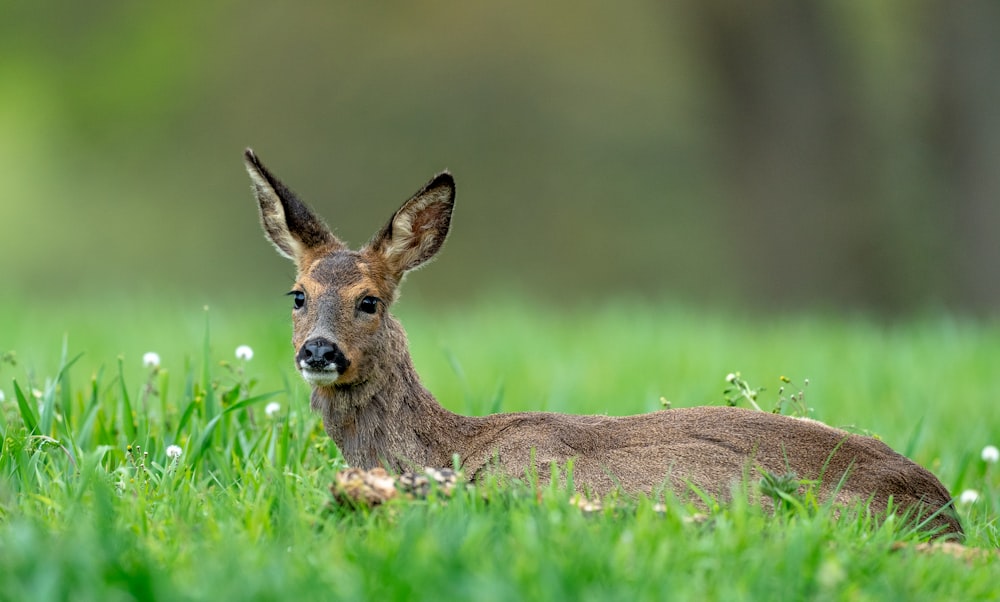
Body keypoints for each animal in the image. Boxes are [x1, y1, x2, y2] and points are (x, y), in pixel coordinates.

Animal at [242, 149, 960, 536]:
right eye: (297, 295)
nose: (319, 352)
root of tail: (944, 505)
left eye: (370, 301)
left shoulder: (532, 474)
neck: (447, 450)